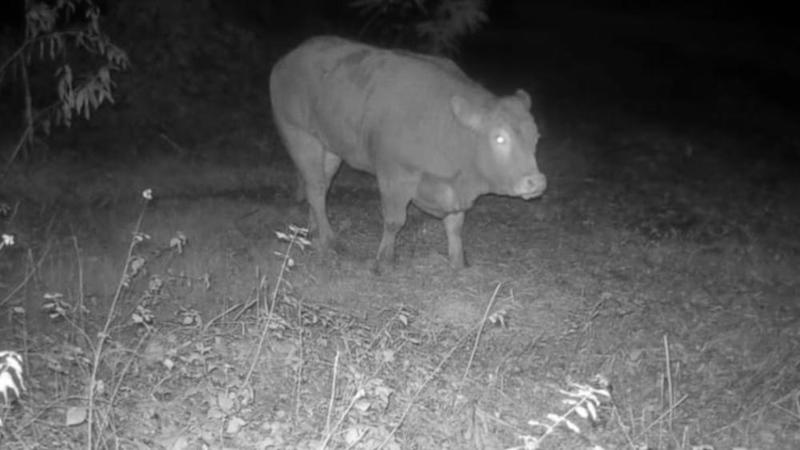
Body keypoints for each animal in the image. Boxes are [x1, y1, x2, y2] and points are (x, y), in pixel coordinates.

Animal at [269, 36, 547, 270]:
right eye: (499, 138)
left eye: (536, 137)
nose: (536, 181)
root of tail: (289, 58)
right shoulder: (394, 173)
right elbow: (394, 220)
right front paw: (384, 261)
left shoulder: (453, 186)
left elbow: (455, 225)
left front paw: (458, 263)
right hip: (299, 135)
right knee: (316, 188)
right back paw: (328, 239)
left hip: (330, 147)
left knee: (320, 186)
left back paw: (313, 230)